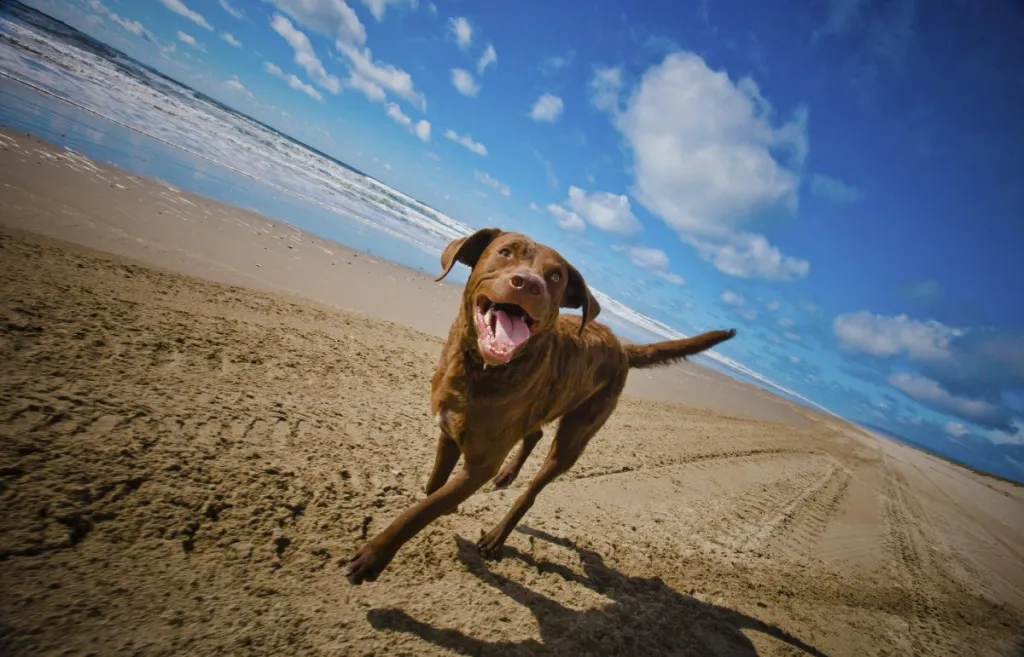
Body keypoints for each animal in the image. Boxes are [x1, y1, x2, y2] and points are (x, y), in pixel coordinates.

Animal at [346, 227, 737, 581]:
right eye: (505, 252)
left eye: (555, 276)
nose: (528, 284)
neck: (482, 371)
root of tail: (622, 347)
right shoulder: (449, 430)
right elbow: (433, 489)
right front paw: (442, 502)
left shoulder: (479, 465)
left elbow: (422, 510)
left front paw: (374, 554)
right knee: (533, 433)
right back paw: (509, 475)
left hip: (574, 439)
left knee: (532, 489)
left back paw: (497, 536)